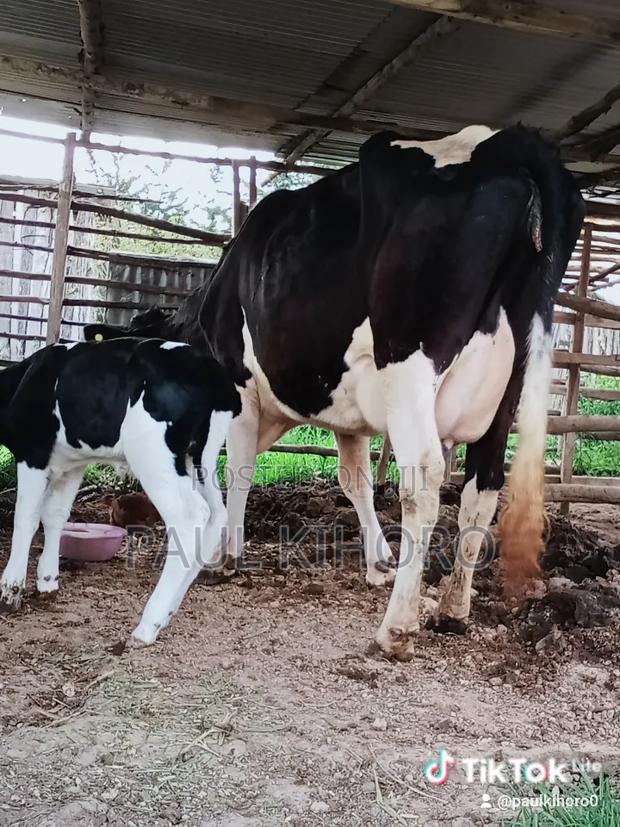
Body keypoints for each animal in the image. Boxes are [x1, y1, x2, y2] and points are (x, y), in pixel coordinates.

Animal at [0, 338, 240, 644]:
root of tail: (210, 369)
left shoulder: (33, 453)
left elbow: (26, 517)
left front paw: (11, 589)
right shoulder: (72, 463)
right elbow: (55, 516)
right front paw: (47, 581)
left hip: (153, 455)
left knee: (190, 516)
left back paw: (148, 624)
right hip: (201, 457)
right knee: (216, 514)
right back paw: (169, 611)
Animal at [86, 125, 584, 660]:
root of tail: (505, 142)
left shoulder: (240, 383)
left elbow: (240, 469)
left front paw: (226, 556)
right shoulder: (351, 414)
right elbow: (356, 482)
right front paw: (378, 561)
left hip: (409, 362)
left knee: (423, 478)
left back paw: (397, 628)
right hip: (508, 388)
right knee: (484, 483)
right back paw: (453, 609)